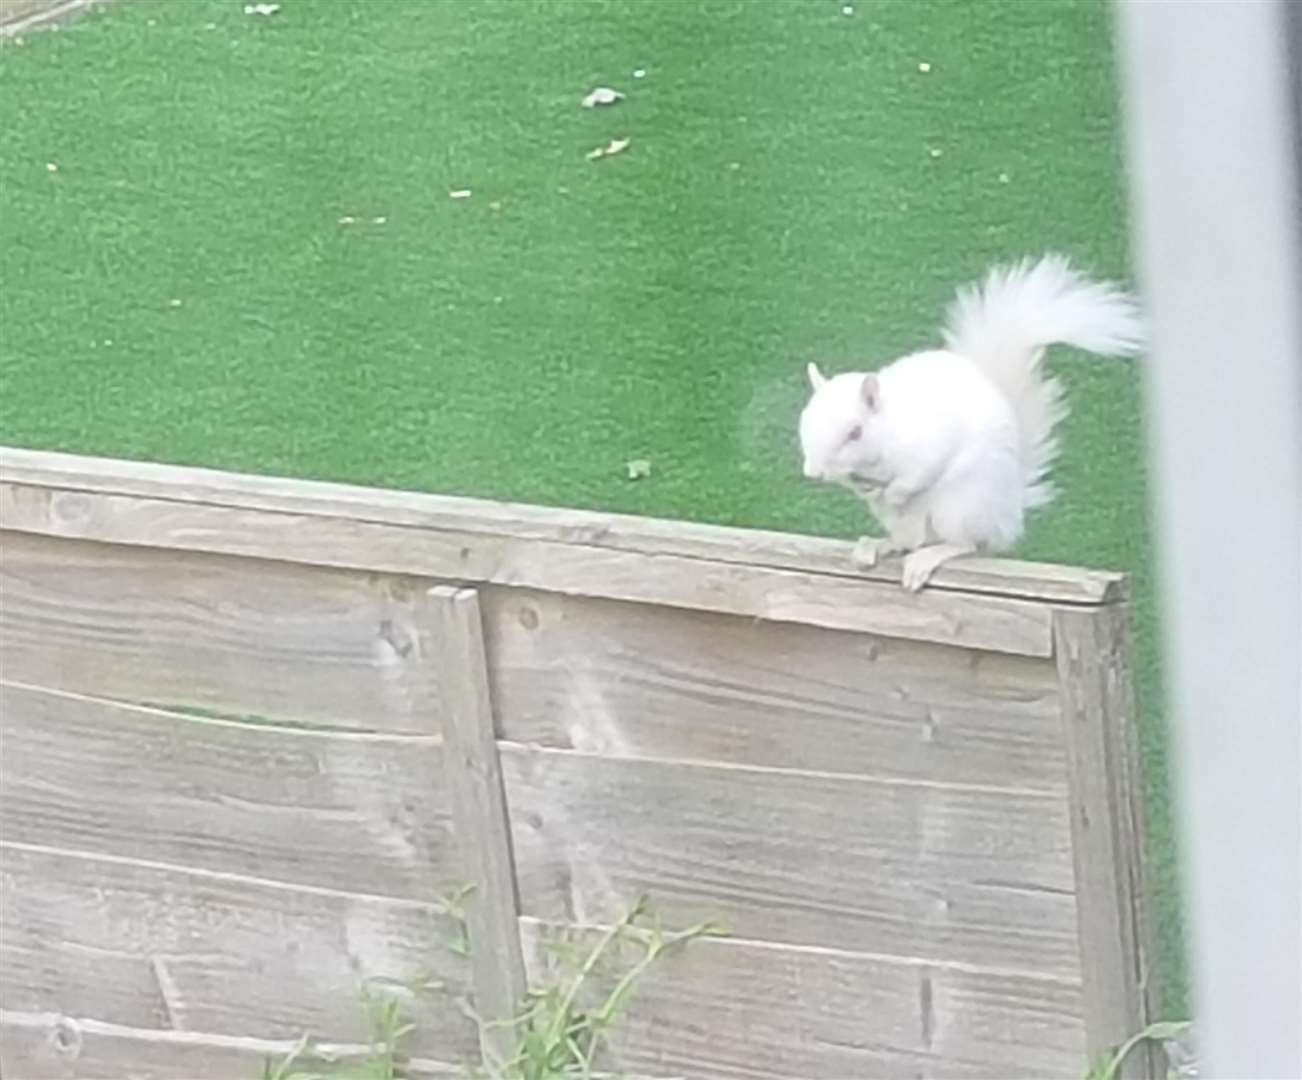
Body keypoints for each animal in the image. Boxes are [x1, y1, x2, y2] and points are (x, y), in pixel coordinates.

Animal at [796, 252, 1145, 588]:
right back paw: (877, 545)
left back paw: (928, 556)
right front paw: (868, 491)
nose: (813, 473)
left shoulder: (928, 444)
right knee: (909, 541)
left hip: (960, 507)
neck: (888, 435)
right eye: (804, 423)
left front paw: (895, 493)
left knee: (966, 545)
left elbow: (918, 474)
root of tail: (1009, 512)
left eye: (855, 432)